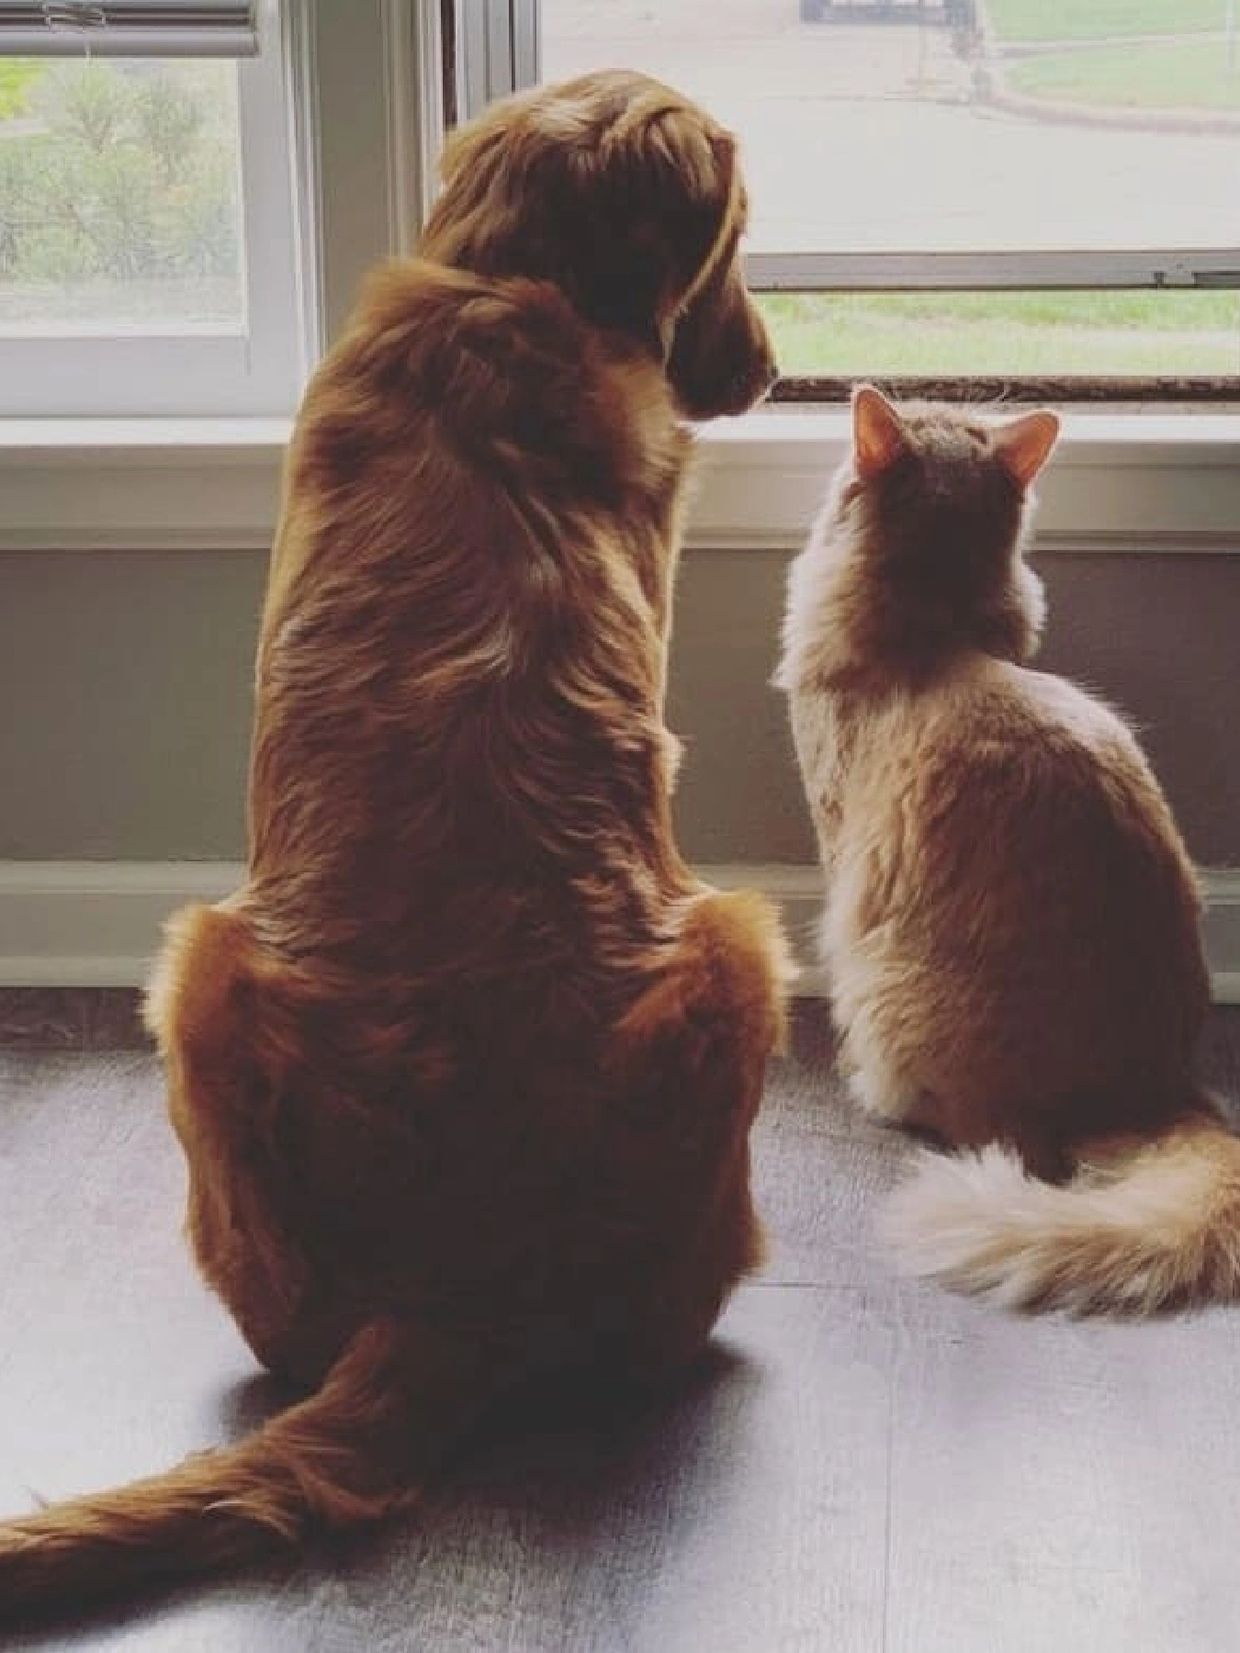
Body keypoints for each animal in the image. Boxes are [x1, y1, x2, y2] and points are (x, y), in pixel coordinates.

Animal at [0, 74, 790, 1613]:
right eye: (739, 237)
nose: (775, 375)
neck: (511, 283)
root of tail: (454, 1288)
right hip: (727, 943)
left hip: (205, 973)